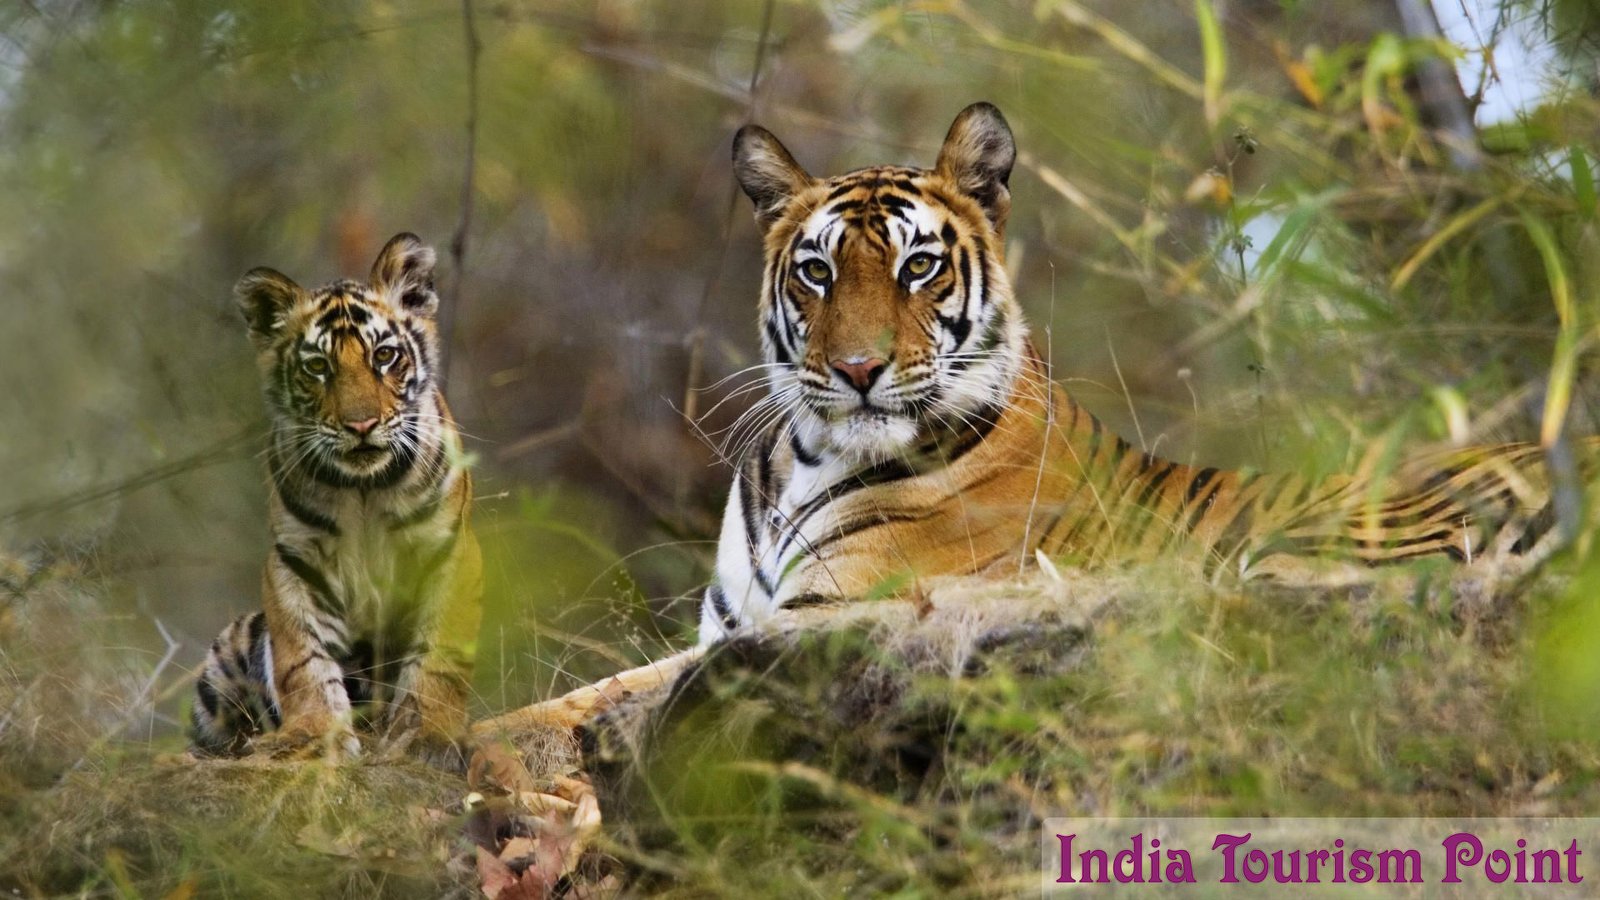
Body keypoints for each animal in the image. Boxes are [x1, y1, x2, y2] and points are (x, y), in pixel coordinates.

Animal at [191, 233, 482, 768]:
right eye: (318, 367)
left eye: (384, 356)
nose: (361, 425)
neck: (364, 489)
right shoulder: (295, 562)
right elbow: (303, 661)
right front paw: (314, 736)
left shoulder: (449, 552)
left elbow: (439, 660)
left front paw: (428, 737)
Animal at [471, 102, 1588, 741]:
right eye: (818, 272)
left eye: (920, 266)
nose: (860, 370)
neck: (805, 458)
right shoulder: (737, 626)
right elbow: (587, 691)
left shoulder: (814, 623)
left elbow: (592, 701)